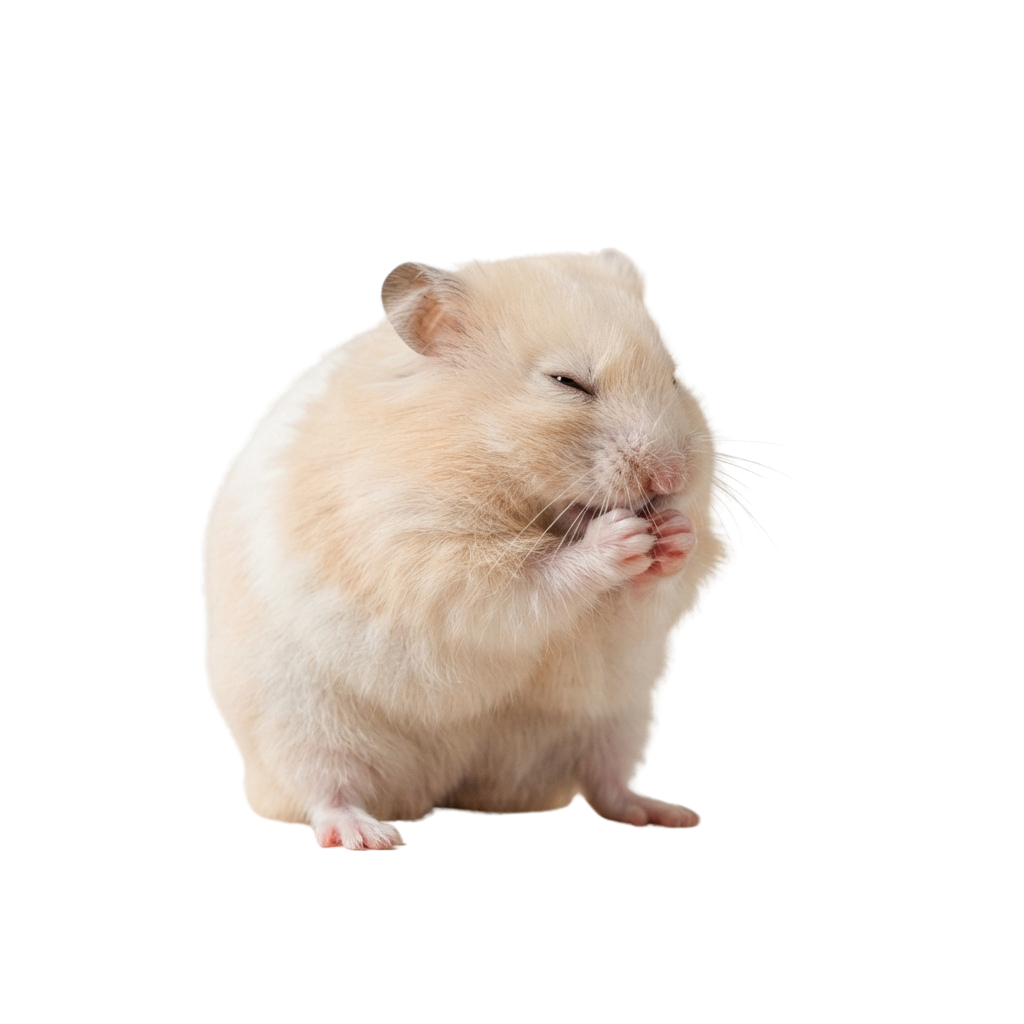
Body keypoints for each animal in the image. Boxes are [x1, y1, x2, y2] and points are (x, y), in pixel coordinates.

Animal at [200, 248, 741, 851]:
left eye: (675, 379)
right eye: (567, 382)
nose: (671, 478)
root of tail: (439, 790)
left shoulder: (644, 619)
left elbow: (662, 591)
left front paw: (675, 536)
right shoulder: (422, 550)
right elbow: (529, 581)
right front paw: (621, 539)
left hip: (624, 718)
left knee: (610, 784)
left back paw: (671, 814)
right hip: (299, 724)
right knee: (323, 788)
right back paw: (371, 835)